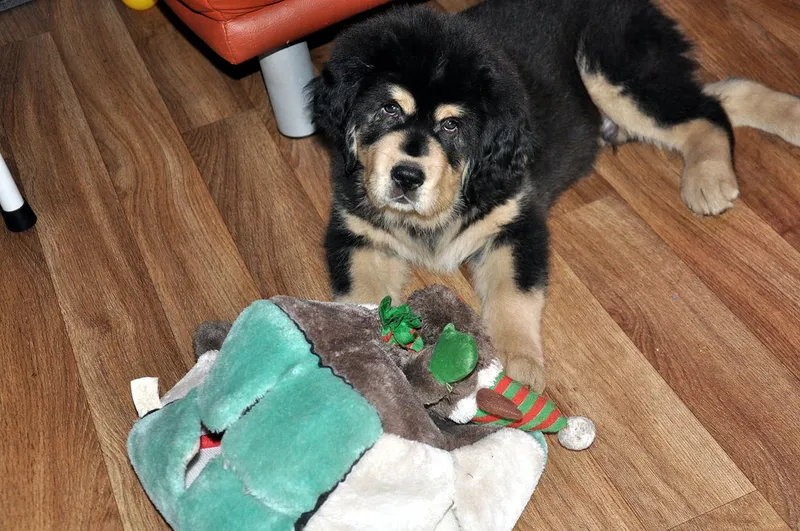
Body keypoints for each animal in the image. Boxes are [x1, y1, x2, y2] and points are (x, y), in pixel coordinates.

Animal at [309, 0, 800, 392]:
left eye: (451, 125)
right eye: (388, 108)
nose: (407, 177)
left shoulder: (516, 223)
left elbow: (512, 297)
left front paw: (517, 366)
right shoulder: (357, 235)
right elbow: (361, 298)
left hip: (610, 69)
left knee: (706, 111)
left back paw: (708, 177)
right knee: (719, 94)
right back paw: (788, 117)